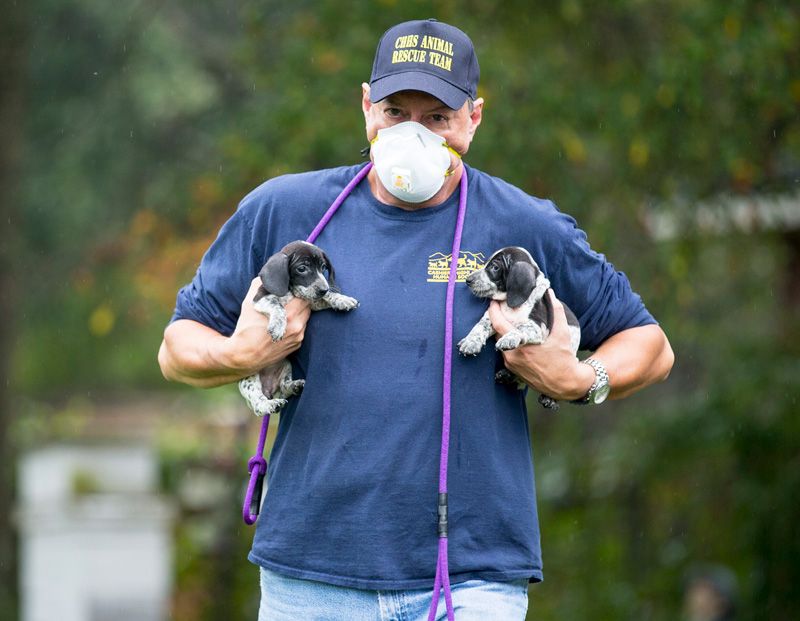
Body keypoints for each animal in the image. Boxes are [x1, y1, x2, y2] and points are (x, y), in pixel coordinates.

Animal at [238, 241, 360, 416]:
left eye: (323, 267)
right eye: (302, 268)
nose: (324, 288)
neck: (292, 290)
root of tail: (269, 387)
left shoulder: (312, 302)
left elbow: (326, 298)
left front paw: (341, 299)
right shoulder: (261, 298)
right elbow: (278, 306)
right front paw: (278, 326)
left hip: (286, 365)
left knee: (284, 387)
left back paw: (294, 386)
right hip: (250, 379)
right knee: (258, 405)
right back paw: (269, 405)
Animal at [456, 245, 580, 410]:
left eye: (495, 267)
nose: (468, 280)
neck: (510, 305)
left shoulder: (536, 327)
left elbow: (519, 329)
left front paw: (509, 339)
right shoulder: (490, 317)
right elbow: (479, 327)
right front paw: (471, 342)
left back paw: (550, 399)